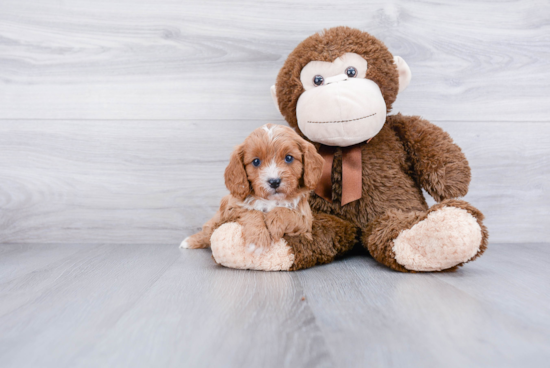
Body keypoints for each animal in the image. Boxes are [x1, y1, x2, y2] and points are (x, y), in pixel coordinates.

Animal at [181, 123, 328, 253]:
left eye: (289, 158)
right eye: (256, 161)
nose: (274, 182)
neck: (271, 200)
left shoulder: (306, 221)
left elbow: (287, 212)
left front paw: (273, 225)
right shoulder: (233, 206)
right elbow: (252, 212)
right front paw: (257, 241)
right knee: (209, 229)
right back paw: (189, 241)